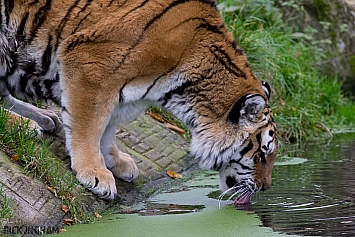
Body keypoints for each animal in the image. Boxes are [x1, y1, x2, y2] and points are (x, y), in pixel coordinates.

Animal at [0, 0, 280, 204]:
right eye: (262, 154)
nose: (266, 188)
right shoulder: (90, 63)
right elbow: (88, 126)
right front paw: (95, 174)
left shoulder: (117, 88)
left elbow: (107, 126)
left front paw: (115, 160)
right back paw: (25, 125)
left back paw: (44, 118)